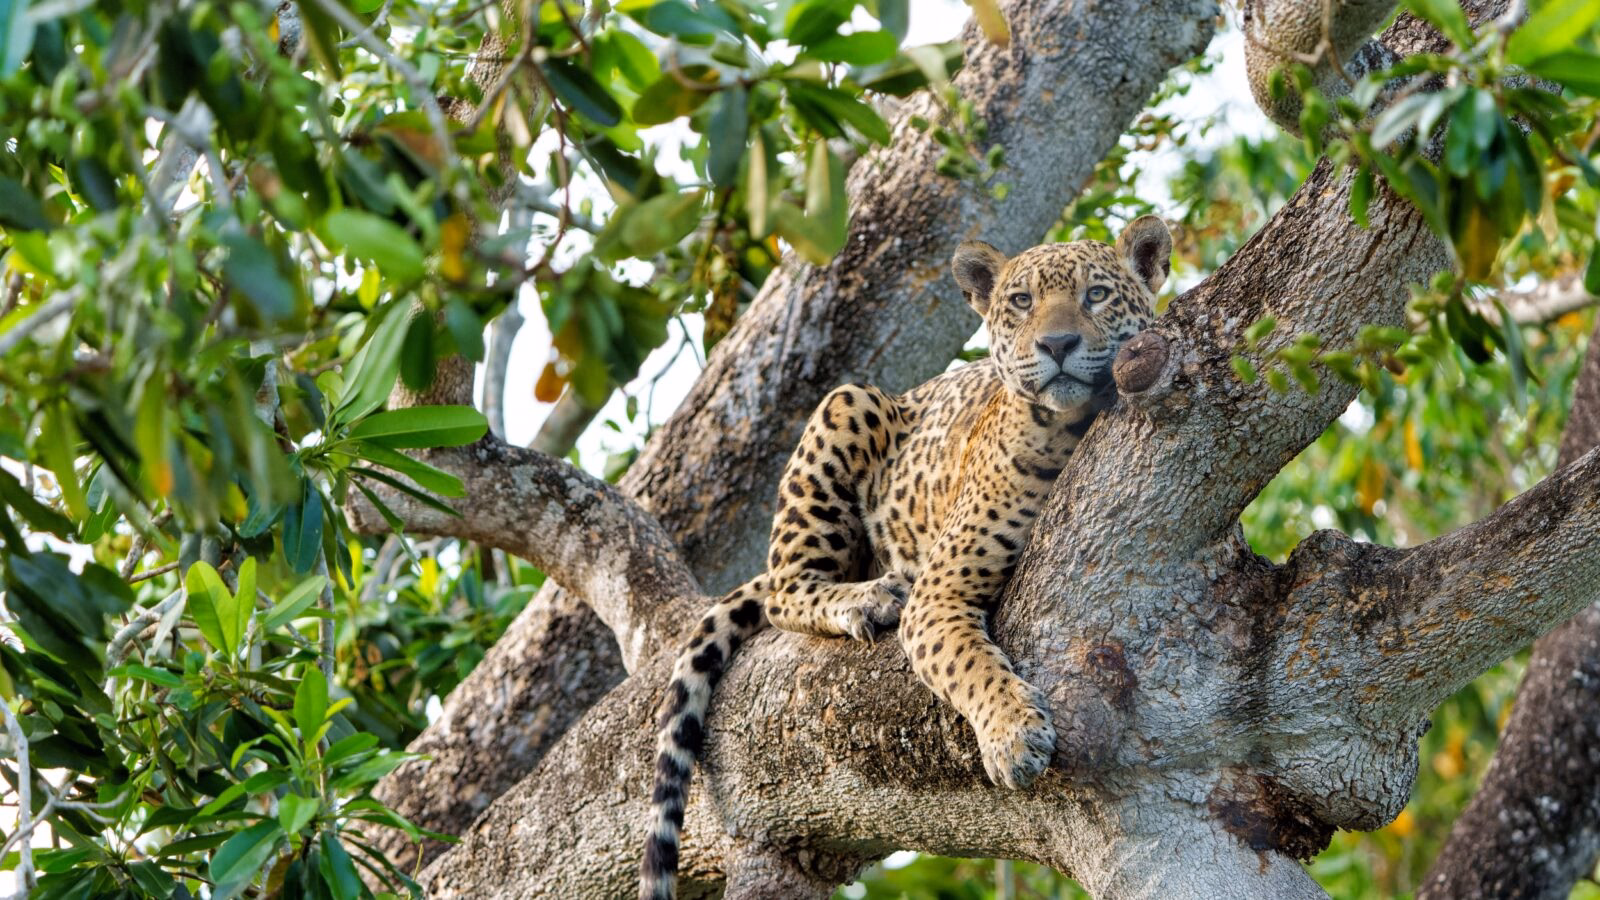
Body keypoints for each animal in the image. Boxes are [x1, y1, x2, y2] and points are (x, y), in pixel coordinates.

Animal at [640, 216, 1173, 900]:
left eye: (1097, 296)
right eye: (1021, 301)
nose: (1056, 343)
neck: (1074, 426)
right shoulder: (939, 593)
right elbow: (971, 665)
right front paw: (1013, 735)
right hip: (847, 402)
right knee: (786, 585)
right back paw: (870, 596)